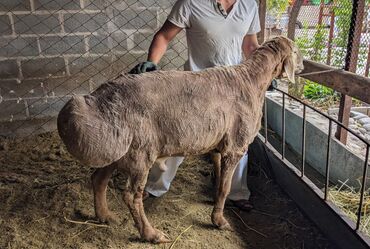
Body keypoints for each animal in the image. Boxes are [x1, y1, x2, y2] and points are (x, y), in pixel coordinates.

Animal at [56, 36, 302, 242]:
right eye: (297, 51)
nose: (302, 67)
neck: (251, 79)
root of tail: (100, 100)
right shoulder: (235, 146)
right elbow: (225, 186)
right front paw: (219, 221)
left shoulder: (217, 145)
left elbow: (219, 179)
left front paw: (215, 203)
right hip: (140, 151)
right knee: (131, 196)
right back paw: (151, 234)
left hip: (119, 146)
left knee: (98, 179)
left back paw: (105, 216)